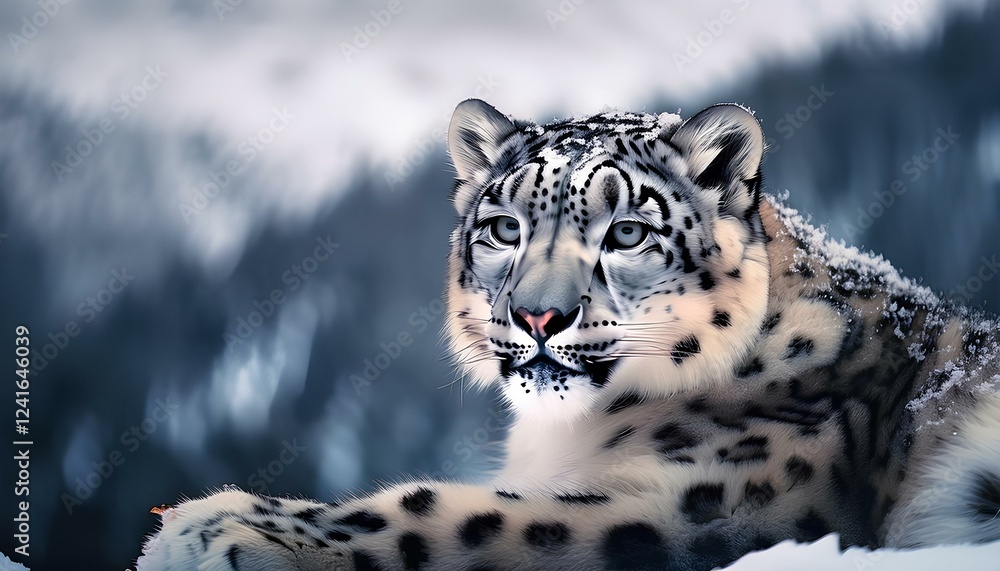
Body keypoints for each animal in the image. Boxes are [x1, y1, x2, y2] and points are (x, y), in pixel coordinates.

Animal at [134, 99, 1000, 571]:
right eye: (504, 226)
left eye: (627, 233)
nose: (538, 315)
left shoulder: (706, 504)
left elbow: (461, 511)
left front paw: (215, 524)